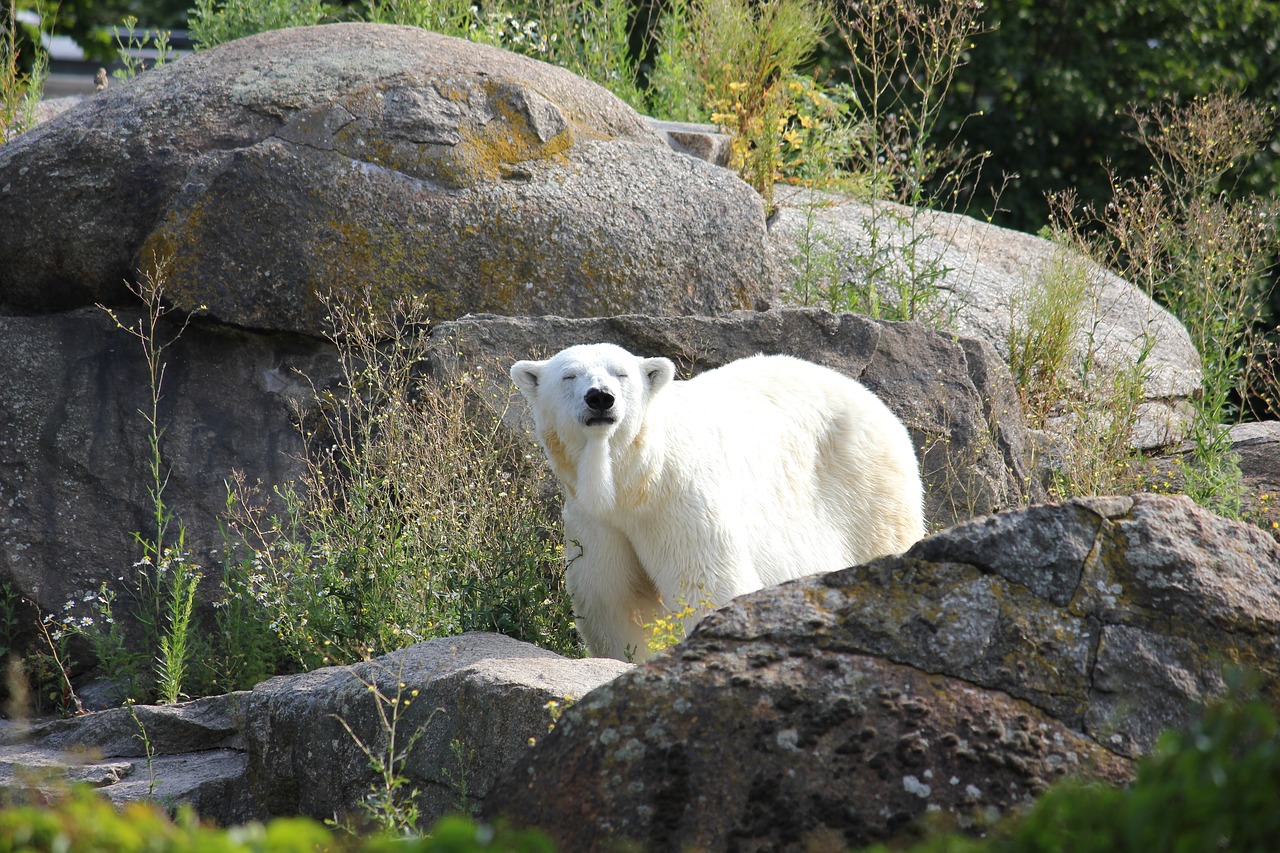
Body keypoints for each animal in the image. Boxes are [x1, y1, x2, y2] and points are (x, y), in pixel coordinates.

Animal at [512, 343, 931, 660]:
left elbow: (708, 583)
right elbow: (613, 599)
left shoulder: (679, 497)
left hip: (867, 489)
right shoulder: (594, 519)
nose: (601, 398)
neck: (633, 481)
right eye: (569, 376)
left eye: (621, 374)